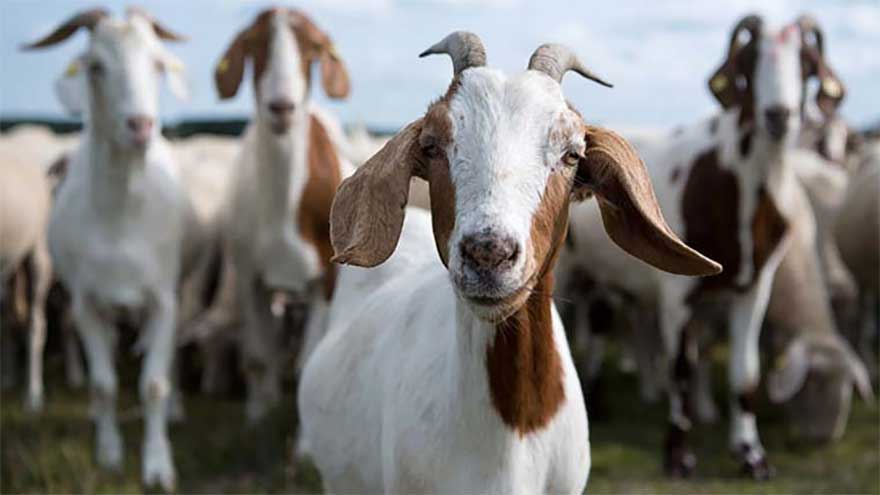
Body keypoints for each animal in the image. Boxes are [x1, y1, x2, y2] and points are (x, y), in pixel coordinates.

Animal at [24, 8, 190, 490]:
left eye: (157, 64)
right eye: (96, 66)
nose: (140, 126)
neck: (122, 217)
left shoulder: (164, 300)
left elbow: (153, 384)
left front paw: (157, 465)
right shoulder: (87, 303)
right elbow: (103, 384)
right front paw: (111, 452)